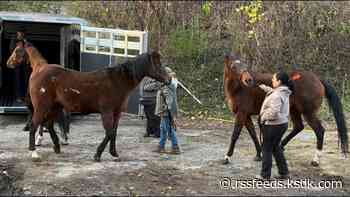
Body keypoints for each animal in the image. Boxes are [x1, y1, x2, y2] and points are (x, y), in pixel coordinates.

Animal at [26, 49, 170, 162]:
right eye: (158, 64)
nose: (169, 80)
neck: (117, 82)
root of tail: (38, 71)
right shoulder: (106, 112)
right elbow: (109, 132)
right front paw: (98, 155)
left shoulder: (117, 113)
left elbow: (114, 132)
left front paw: (114, 153)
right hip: (42, 107)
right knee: (34, 125)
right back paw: (34, 153)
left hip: (54, 107)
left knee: (48, 125)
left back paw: (57, 147)